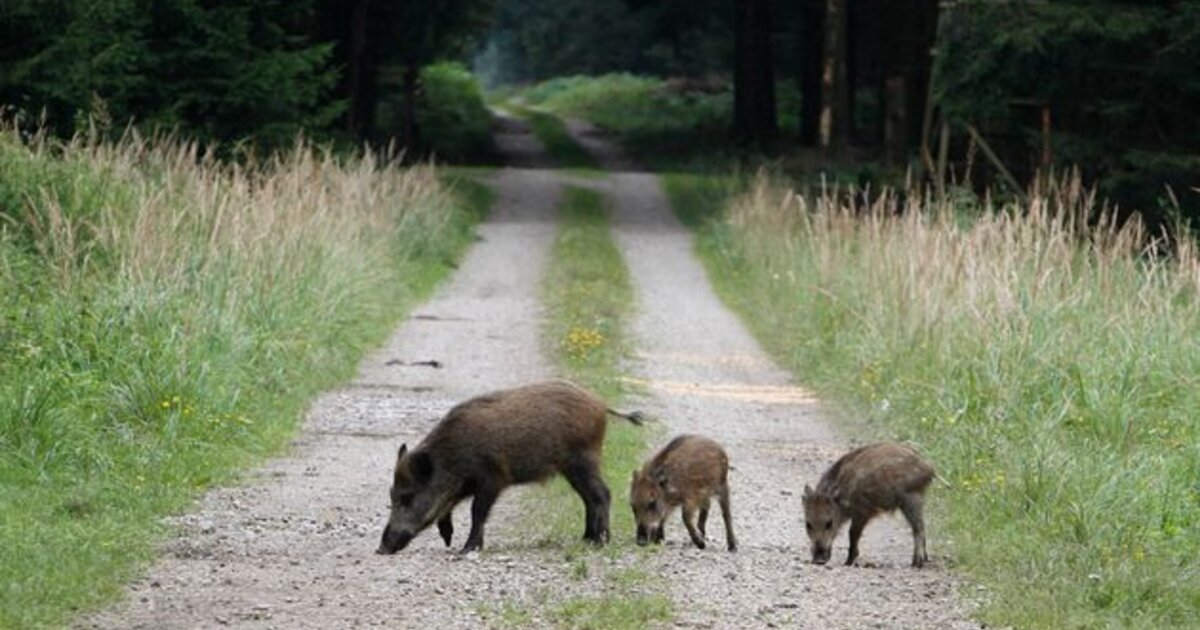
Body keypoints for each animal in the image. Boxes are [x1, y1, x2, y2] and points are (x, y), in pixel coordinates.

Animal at [377, 380, 643, 555]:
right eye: (392, 496)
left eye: (407, 497)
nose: (381, 549)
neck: (452, 458)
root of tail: (601, 404)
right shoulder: (465, 485)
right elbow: (449, 506)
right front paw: (449, 540)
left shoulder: (492, 478)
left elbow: (477, 512)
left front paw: (467, 549)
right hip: (571, 468)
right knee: (588, 498)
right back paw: (586, 539)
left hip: (583, 460)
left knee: (602, 494)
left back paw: (601, 542)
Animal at [802, 442, 937, 568]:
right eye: (808, 524)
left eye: (829, 523)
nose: (818, 561)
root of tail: (929, 468)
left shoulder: (862, 512)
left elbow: (853, 534)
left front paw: (848, 562)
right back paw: (924, 560)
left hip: (911, 498)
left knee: (918, 528)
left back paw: (916, 562)